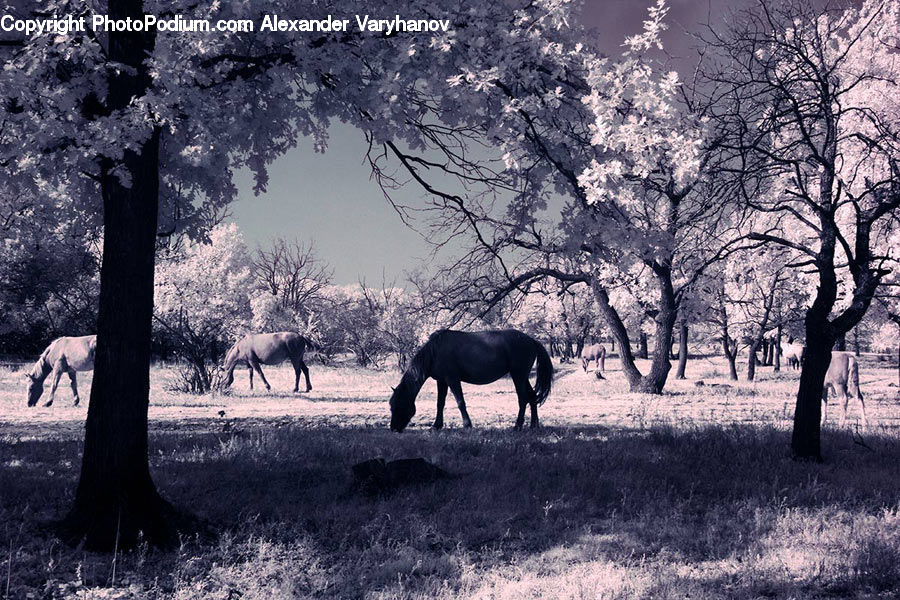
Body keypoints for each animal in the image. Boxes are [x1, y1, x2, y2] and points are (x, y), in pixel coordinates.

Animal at [389, 329, 553, 432]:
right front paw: (436, 426)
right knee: (532, 397)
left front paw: (467, 425)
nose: (393, 429)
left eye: (398, 405)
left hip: (518, 375)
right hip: (522, 377)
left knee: (523, 399)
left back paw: (517, 426)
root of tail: (531, 340)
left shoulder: (452, 379)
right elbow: (440, 404)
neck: (435, 351)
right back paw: (534, 425)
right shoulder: (441, 381)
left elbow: (460, 402)